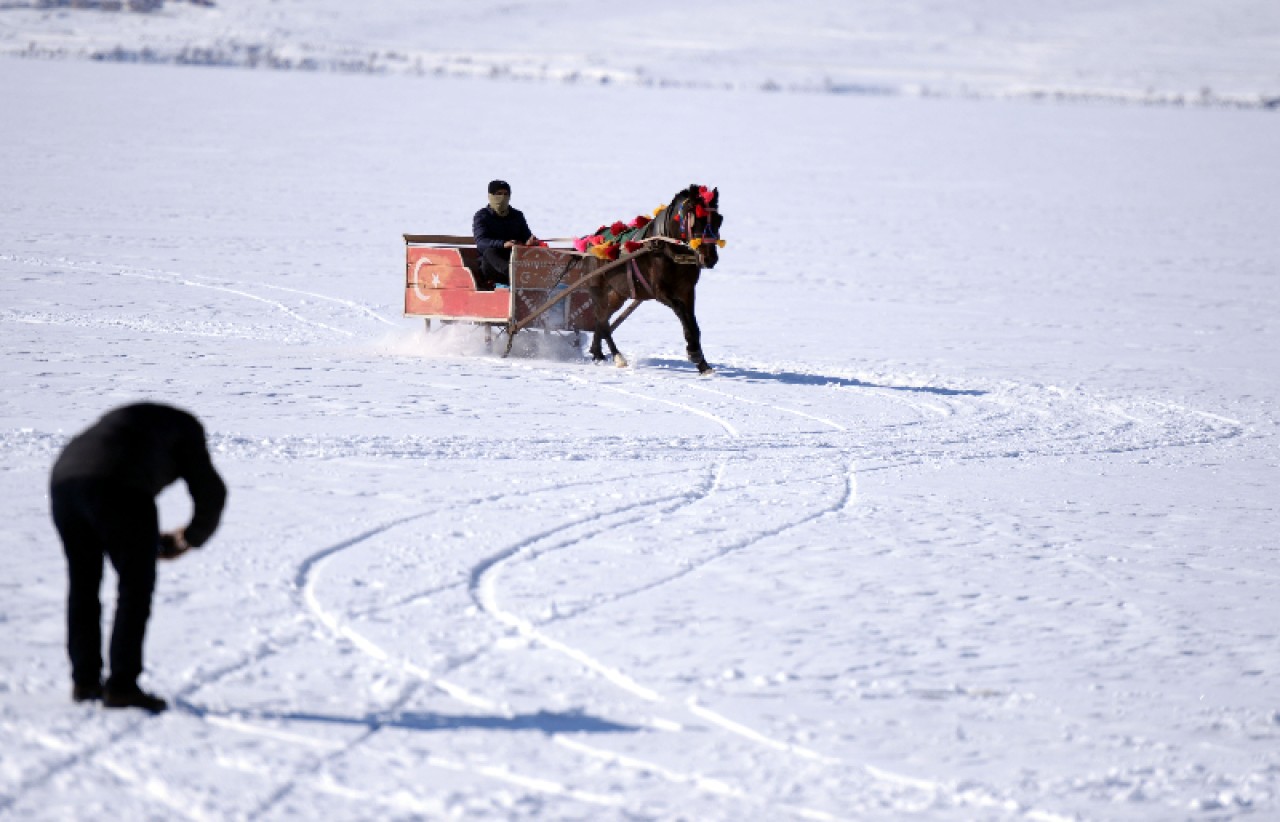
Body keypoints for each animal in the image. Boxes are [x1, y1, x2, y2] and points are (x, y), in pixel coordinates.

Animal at [586, 184, 727, 373]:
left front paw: (702, 363)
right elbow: (682, 313)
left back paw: (597, 353)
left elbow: (693, 323)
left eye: (719, 219)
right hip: (598, 288)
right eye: (695, 220)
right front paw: (694, 353)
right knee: (602, 319)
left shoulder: (688, 290)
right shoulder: (660, 292)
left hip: (617, 294)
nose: (710, 258)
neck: (666, 248)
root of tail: (594, 238)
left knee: (603, 318)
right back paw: (617, 357)